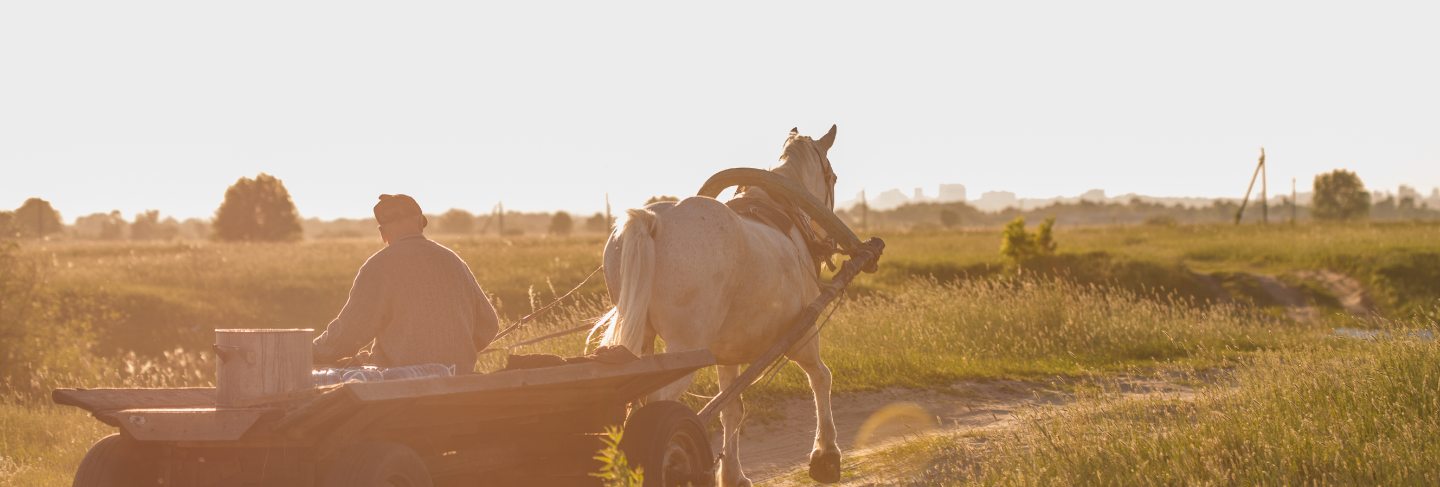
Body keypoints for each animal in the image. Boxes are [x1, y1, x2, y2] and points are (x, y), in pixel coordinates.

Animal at [593, 123, 840, 484]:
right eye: (833, 177)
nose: (829, 241)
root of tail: (652, 221)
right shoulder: (803, 331)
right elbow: (821, 377)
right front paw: (826, 456)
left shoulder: (728, 352)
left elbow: (731, 408)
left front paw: (733, 474)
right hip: (684, 348)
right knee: (657, 404)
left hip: (641, 346)